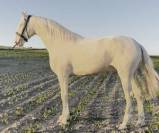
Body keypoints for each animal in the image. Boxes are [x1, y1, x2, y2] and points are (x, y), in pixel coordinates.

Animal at [14, 12, 159, 130]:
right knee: (139, 96)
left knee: (129, 99)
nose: (16, 42)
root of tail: (136, 43)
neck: (60, 43)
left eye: (22, 23)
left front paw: (64, 120)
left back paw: (123, 125)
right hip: (132, 75)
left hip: (124, 76)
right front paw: (63, 118)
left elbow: (63, 95)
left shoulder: (63, 75)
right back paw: (140, 122)